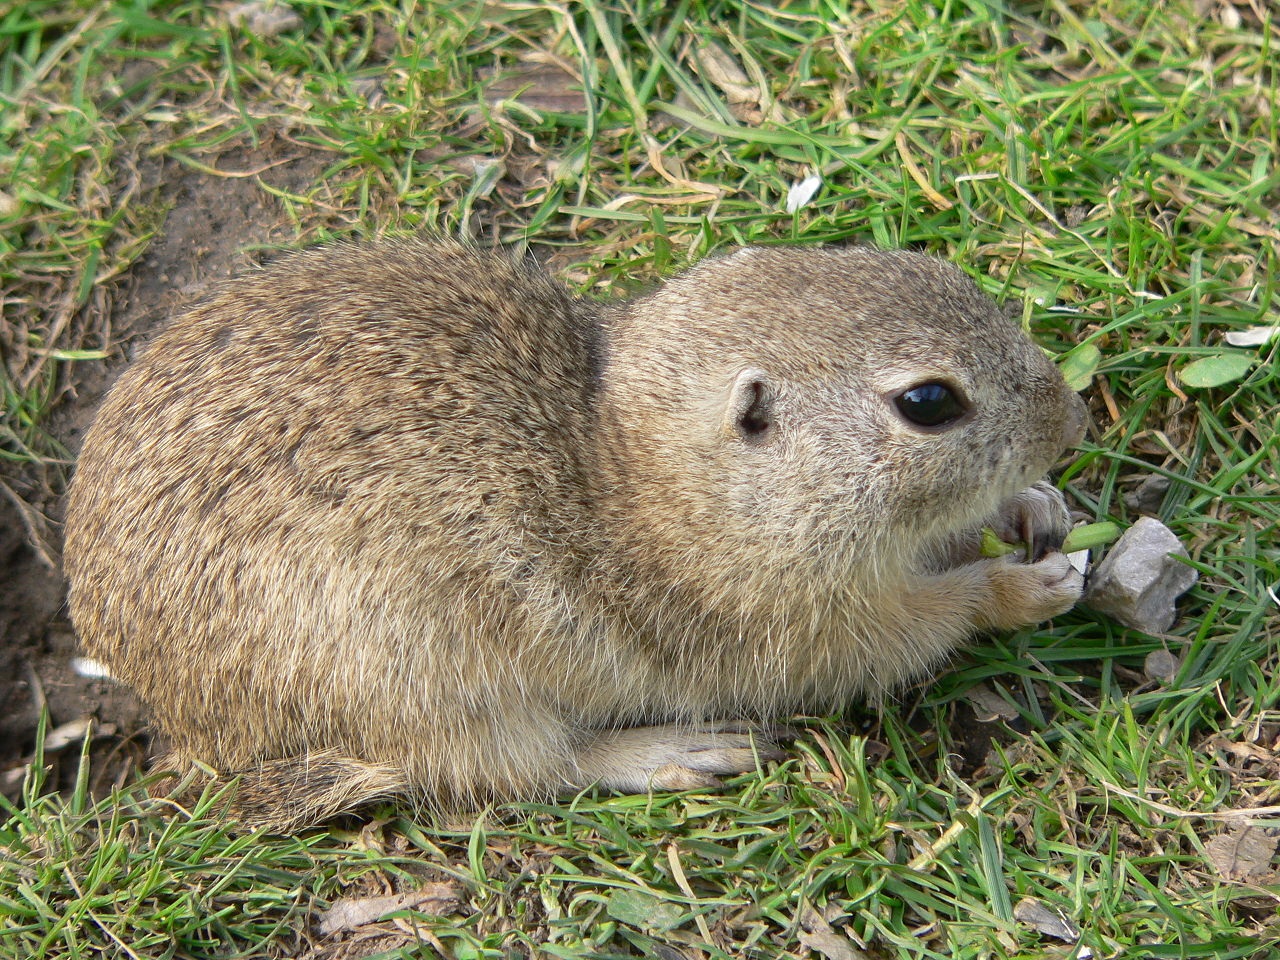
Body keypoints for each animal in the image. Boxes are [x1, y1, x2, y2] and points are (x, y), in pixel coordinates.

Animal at [64, 241, 1090, 834]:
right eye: (928, 402)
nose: (1067, 420)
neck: (662, 479)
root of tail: (190, 725)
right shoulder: (799, 627)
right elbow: (925, 622)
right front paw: (1027, 588)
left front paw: (1032, 508)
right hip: (424, 683)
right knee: (520, 771)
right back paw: (681, 753)